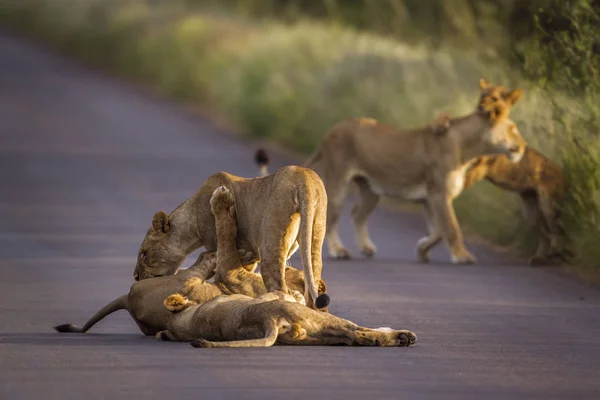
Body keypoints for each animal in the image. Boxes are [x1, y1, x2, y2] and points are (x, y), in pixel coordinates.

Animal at [133, 164, 330, 310]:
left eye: (144, 254)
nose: (135, 276)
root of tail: (304, 179)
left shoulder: (216, 243)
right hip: (315, 234)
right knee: (312, 286)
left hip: (271, 243)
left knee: (280, 288)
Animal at [302, 78, 528, 266]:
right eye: (513, 129)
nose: (523, 146)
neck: (467, 147)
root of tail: (330, 131)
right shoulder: (439, 194)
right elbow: (452, 228)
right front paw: (462, 256)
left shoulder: (430, 198)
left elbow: (438, 231)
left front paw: (422, 250)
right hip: (338, 181)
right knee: (331, 218)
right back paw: (338, 251)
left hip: (371, 190)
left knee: (357, 214)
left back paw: (366, 248)